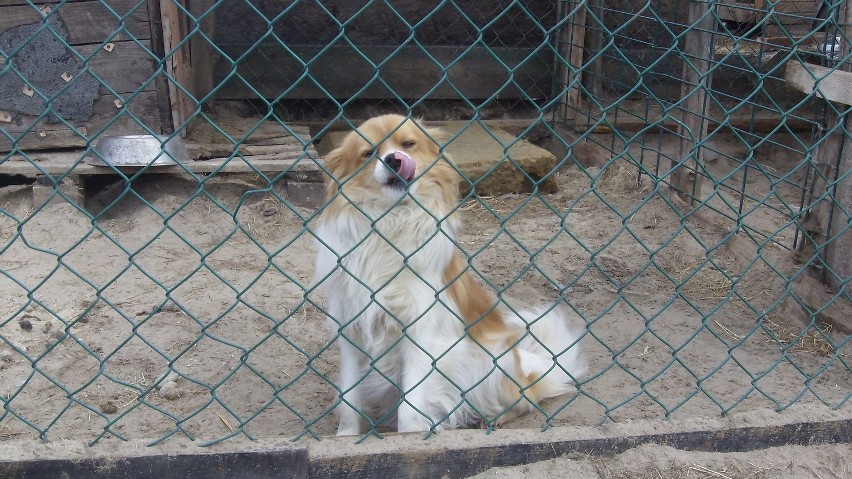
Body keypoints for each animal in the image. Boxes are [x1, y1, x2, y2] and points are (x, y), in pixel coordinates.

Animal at [312, 115, 584, 436]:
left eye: (408, 144)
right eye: (368, 154)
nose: (394, 159)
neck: (390, 224)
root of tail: (529, 372)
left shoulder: (420, 337)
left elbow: (410, 408)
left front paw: (411, 437)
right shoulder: (352, 335)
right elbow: (349, 402)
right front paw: (345, 437)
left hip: (491, 362)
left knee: (524, 399)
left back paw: (498, 417)